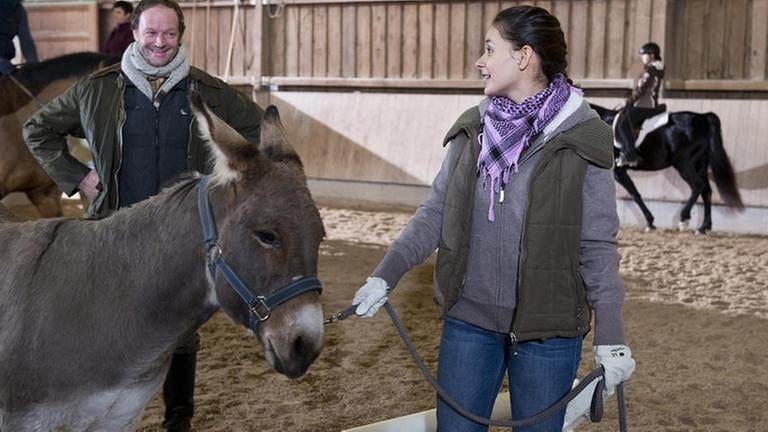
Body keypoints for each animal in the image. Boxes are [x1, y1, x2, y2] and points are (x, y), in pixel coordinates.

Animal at [588, 104, 744, 233]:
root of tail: (702, 117)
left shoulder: (618, 171)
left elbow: (634, 194)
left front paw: (650, 223)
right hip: (700, 165)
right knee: (706, 191)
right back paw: (703, 227)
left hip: (684, 165)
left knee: (698, 186)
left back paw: (684, 220)